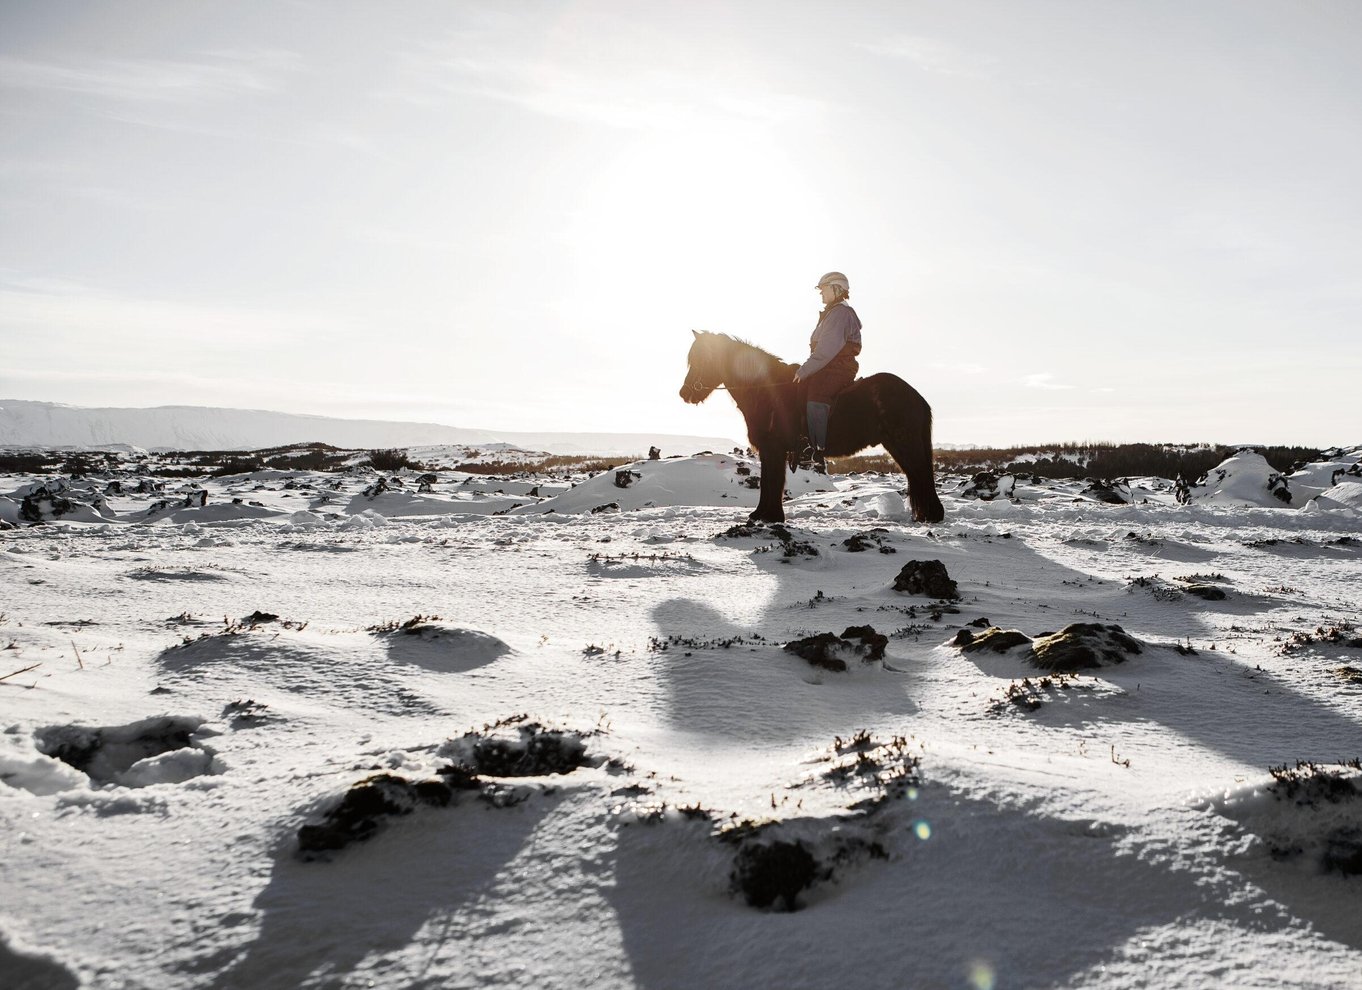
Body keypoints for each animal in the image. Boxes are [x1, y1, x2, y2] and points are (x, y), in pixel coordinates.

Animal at [681, 330, 947, 525]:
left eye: (702, 359)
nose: (684, 393)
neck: (767, 391)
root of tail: (916, 396)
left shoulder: (773, 449)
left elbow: (771, 482)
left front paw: (769, 517)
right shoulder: (773, 451)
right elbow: (771, 481)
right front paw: (764, 515)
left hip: (904, 442)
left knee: (920, 473)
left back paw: (931, 516)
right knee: (916, 475)